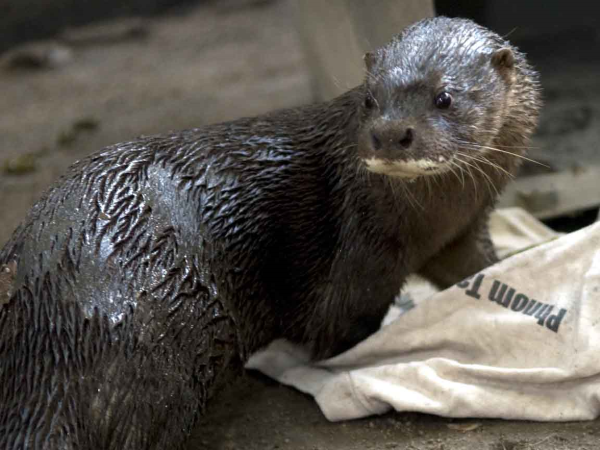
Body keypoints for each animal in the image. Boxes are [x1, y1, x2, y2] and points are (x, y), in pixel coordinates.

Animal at [0, 16, 540, 450]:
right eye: (370, 99)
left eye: (444, 97)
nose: (390, 134)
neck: (429, 219)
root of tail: (49, 329)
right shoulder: (364, 251)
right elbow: (335, 330)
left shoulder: (457, 233)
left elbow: (476, 264)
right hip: (172, 330)